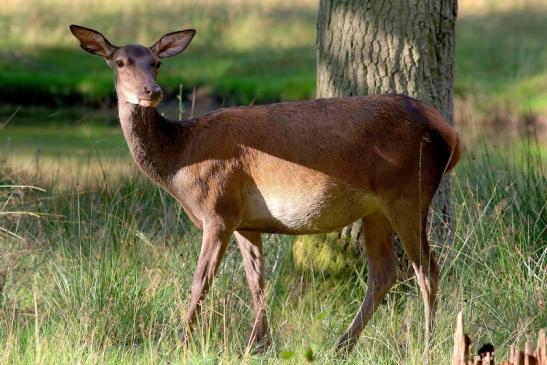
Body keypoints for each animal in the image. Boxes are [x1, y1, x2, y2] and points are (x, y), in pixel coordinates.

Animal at [68, 24, 462, 352]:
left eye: (156, 63)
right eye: (120, 62)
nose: (152, 91)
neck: (179, 165)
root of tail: (450, 133)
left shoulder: (218, 209)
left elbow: (200, 281)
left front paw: (181, 343)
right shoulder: (246, 221)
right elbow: (256, 282)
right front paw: (257, 345)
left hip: (408, 191)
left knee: (427, 270)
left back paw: (427, 344)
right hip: (376, 209)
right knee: (383, 274)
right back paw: (342, 346)